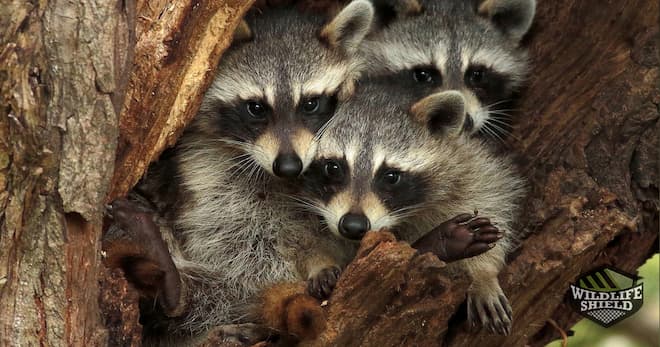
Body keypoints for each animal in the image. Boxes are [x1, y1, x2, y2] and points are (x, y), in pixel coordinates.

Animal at [302, 78, 524, 334]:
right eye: (333, 167)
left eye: (390, 176)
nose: (353, 225)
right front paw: (319, 262)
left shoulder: (466, 162)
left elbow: (491, 196)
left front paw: (483, 274)